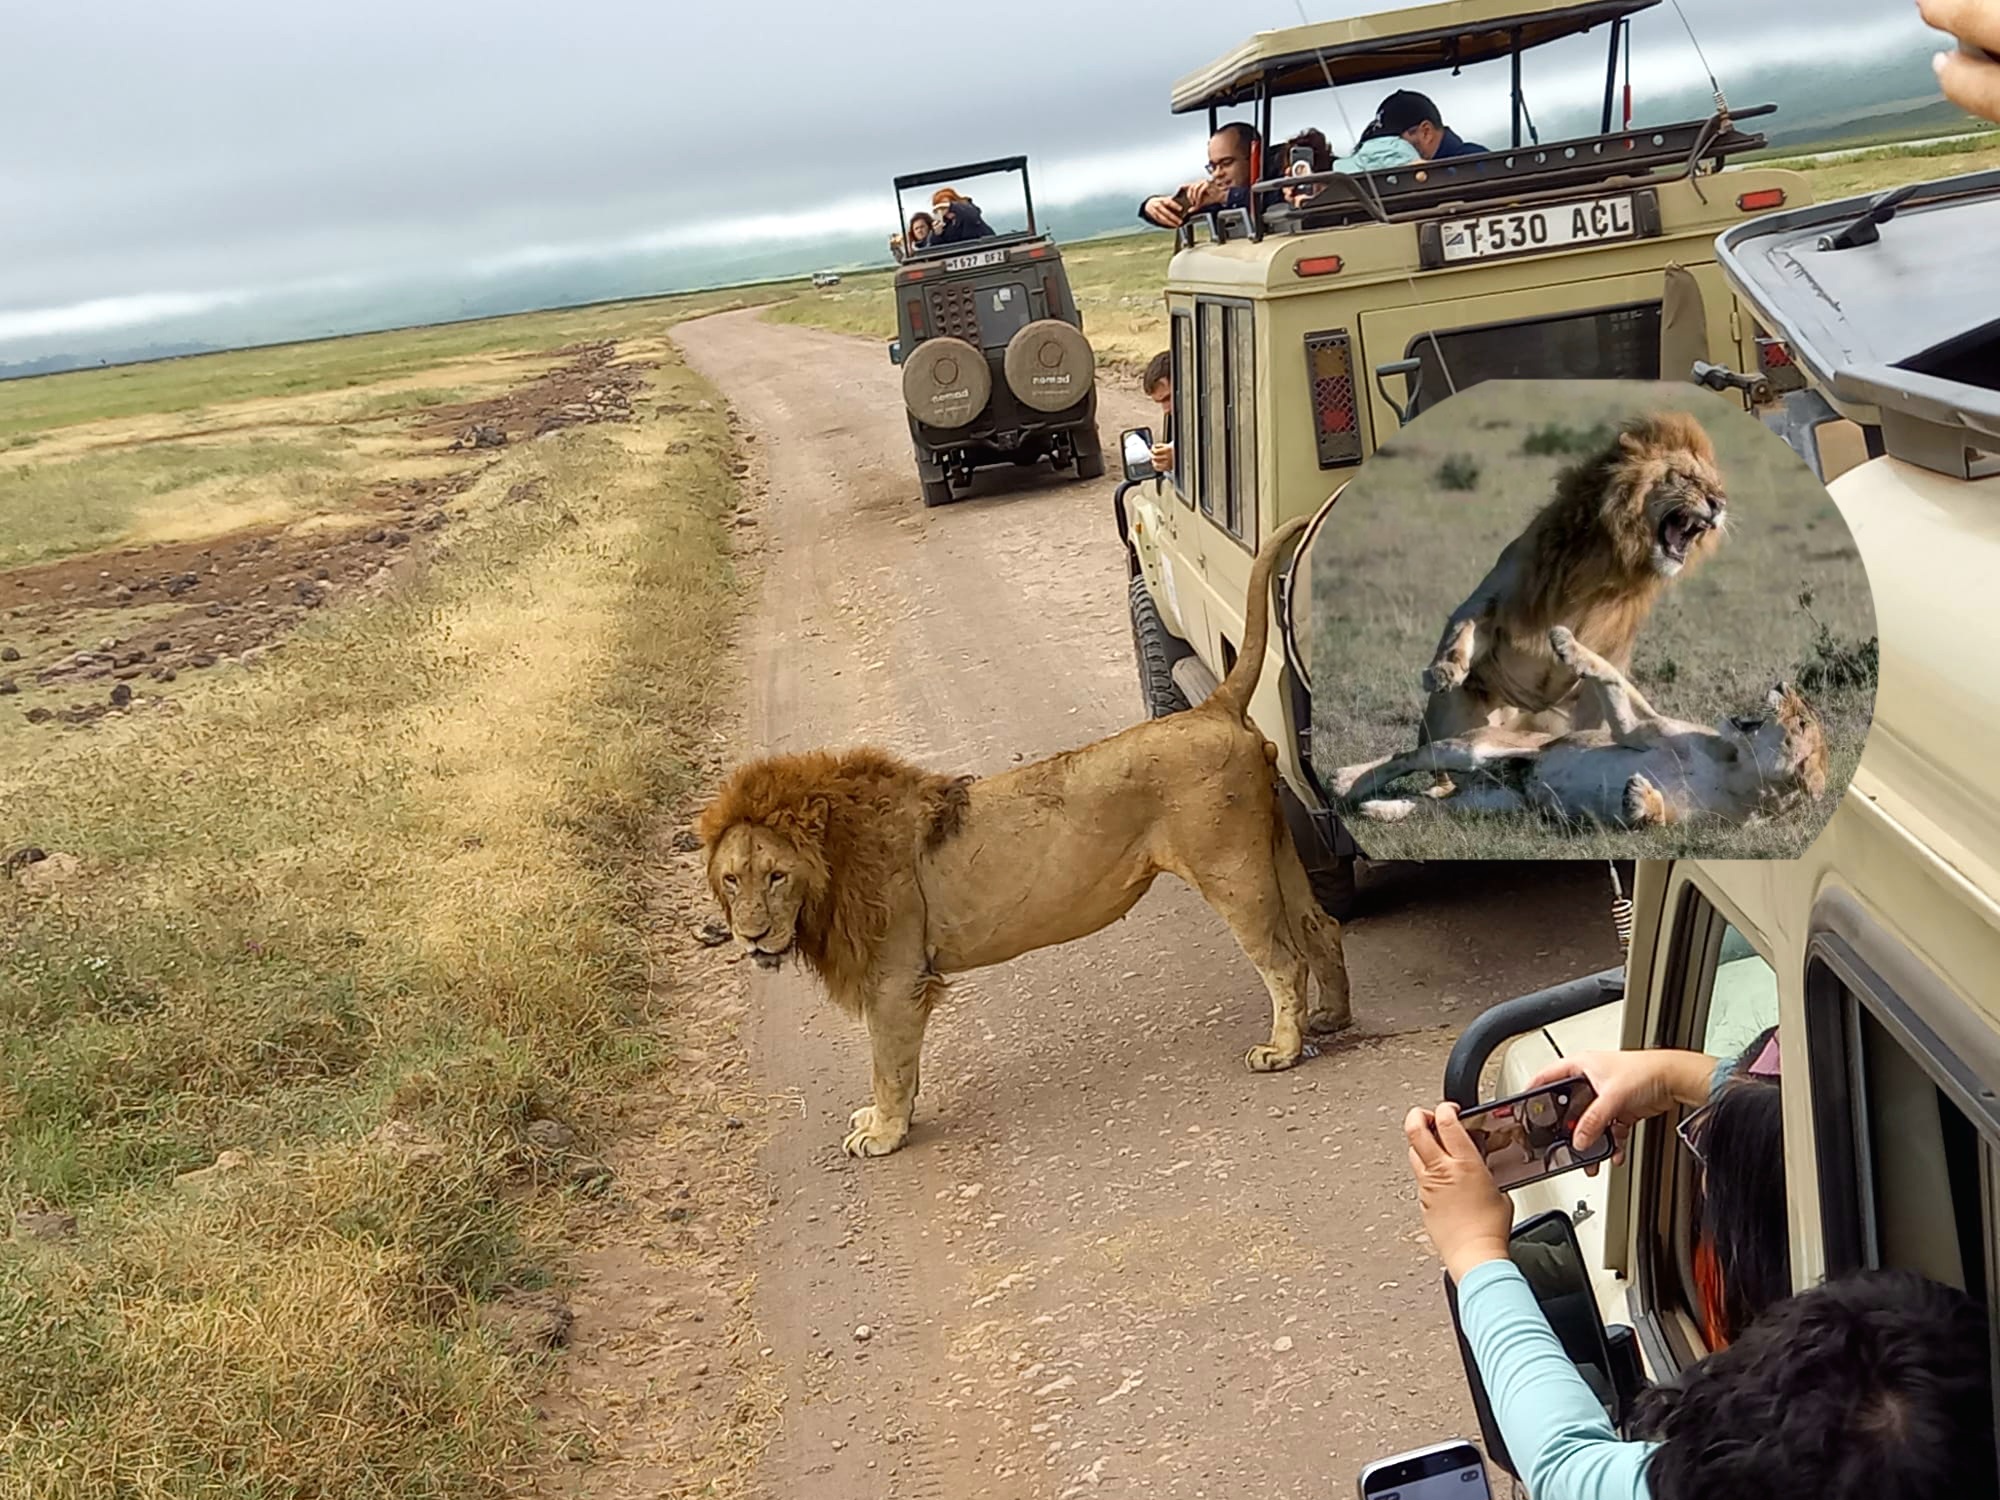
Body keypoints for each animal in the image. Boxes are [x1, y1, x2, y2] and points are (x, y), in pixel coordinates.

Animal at [698, 518, 1351, 1159]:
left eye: (776, 877)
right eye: (731, 880)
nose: (750, 935)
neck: (831, 871)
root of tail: (1212, 707)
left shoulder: (894, 979)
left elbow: (889, 1065)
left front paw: (883, 1132)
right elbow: (897, 1066)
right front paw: (882, 1120)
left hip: (1231, 871)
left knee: (1283, 960)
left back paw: (1282, 1049)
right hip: (1273, 849)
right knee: (1321, 927)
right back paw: (1331, 1018)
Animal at [1334, 627, 1828, 829]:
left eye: (1802, 720)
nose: (1784, 683)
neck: (1740, 772)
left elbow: (1656, 821)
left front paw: (1640, 800)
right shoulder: (1639, 728)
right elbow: (1608, 672)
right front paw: (1564, 642)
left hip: (1490, 806)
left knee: (1429, 804)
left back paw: (1379, 811)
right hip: (1477, 749)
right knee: (1409, 757)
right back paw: (1347, 782)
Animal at [1419, 411, 1729, 745]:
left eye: (1716, 485)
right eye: (1685, 477)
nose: (1719, 504)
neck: (1609, 561)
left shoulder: (1612, 648)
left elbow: (1607, 677)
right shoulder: (1501, 590)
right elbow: (1464, 623)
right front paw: (1444, 669)